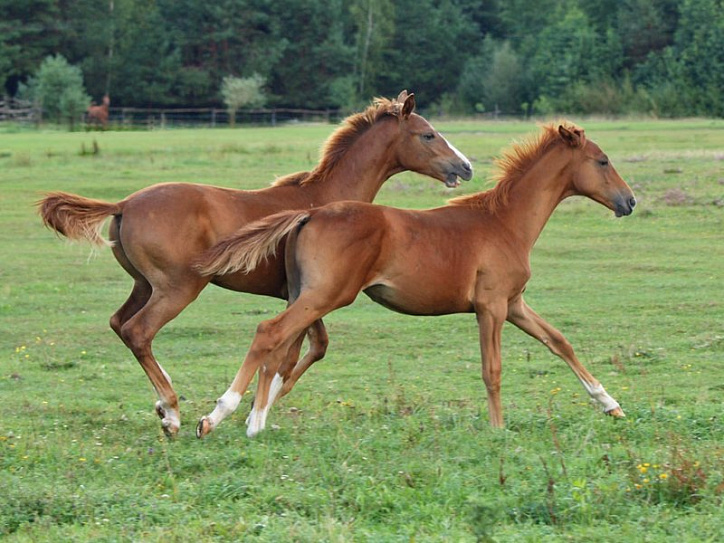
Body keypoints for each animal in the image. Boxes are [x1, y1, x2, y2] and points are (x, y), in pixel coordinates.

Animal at [38, 90, 476, 438]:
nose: (466, 167)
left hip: (144, 285)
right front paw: (249, 410)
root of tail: (124, 203)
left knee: (119, 323)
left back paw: (164, 407)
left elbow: (306, 348)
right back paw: (173, 412)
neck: (323, 198)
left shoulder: (299, 294)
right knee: (138, 330)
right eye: (428, 134)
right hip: (178, 287)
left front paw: (257, 408)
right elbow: (299, 349)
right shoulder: (310, 294)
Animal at [195, 122, 636, 438]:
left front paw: (610, 403)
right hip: (324, 295)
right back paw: (223, 417)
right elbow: (491, 370)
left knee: (281, 348)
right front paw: (497, 430)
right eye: (602, 161)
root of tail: (309, 213)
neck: (505, 222)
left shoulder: (514, 304)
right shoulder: (491, 307)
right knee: (269, 333)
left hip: (303, 295)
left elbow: (560, 342)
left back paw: (252, 418)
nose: (629, 201)